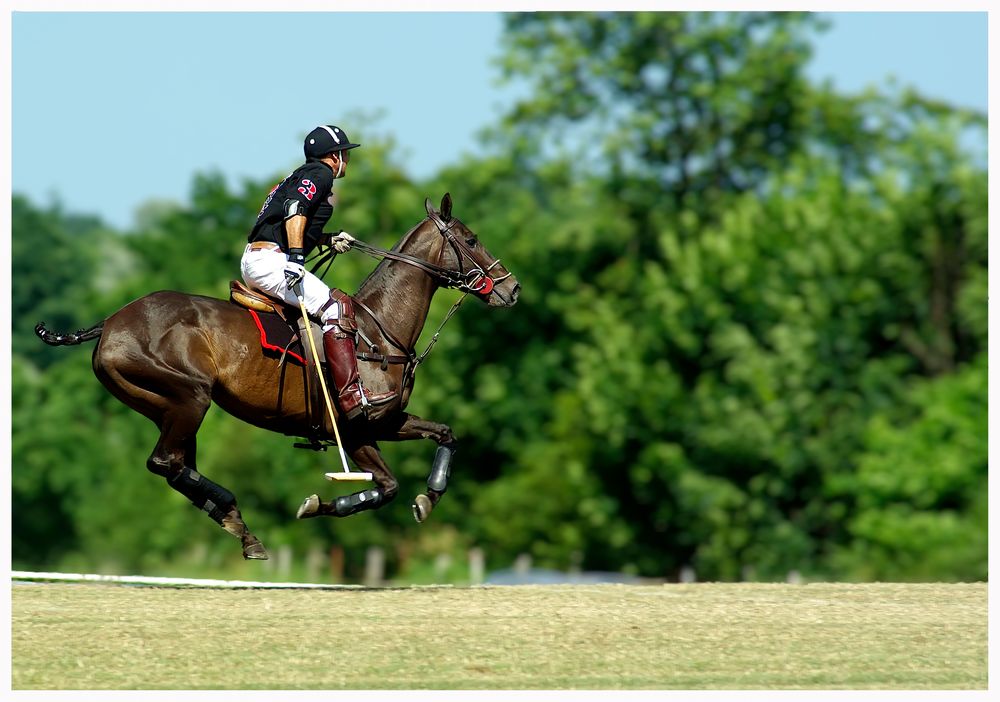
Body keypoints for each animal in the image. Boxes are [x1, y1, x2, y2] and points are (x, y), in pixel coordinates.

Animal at [35, 192, 520, 560]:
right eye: (471, 238)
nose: (511, 288)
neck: (378, 329)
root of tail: (109, 324)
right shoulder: (354, 427)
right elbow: (386, 487)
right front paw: (315, 504)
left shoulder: (387, 421)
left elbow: (444, 434)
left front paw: (428, 497)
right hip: (190, 396)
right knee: (166, 461)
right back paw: (235, 516)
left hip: (164, 406)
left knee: (175, 465)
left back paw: (240, 528)